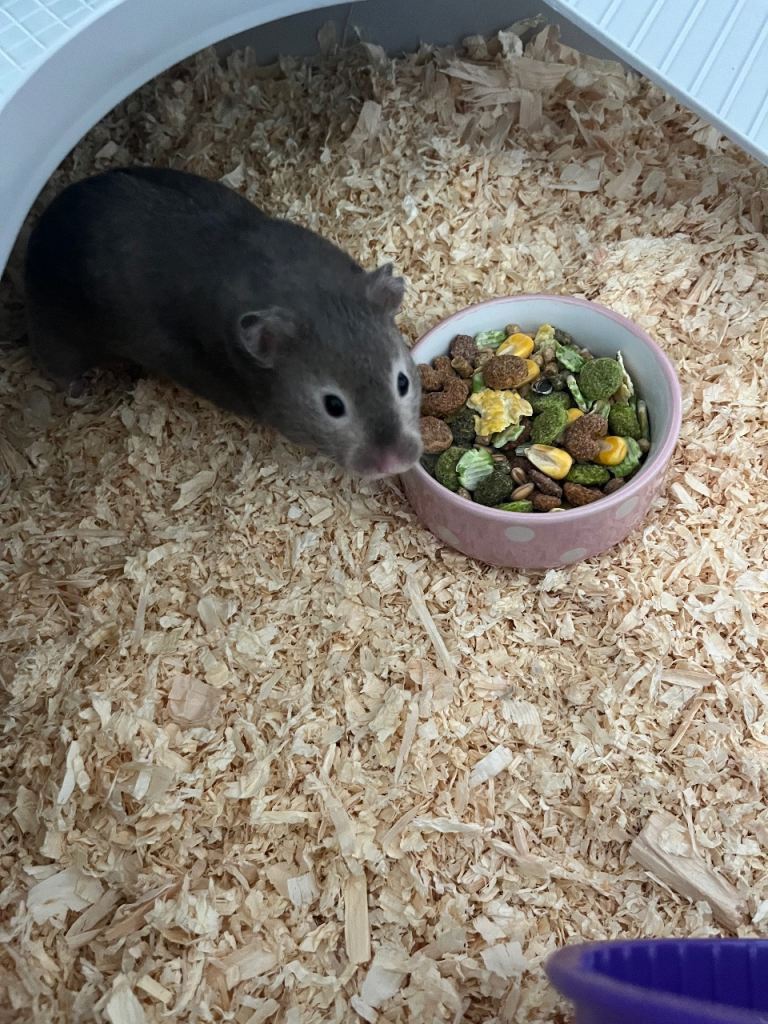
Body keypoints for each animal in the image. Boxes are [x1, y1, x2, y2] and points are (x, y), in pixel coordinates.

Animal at [24, 166, 423, 479]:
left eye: (402, 382)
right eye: (333, 406)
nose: (396, 463)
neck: (305, 294)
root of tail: (43, 226)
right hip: (57, 327)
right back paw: (82, 388)